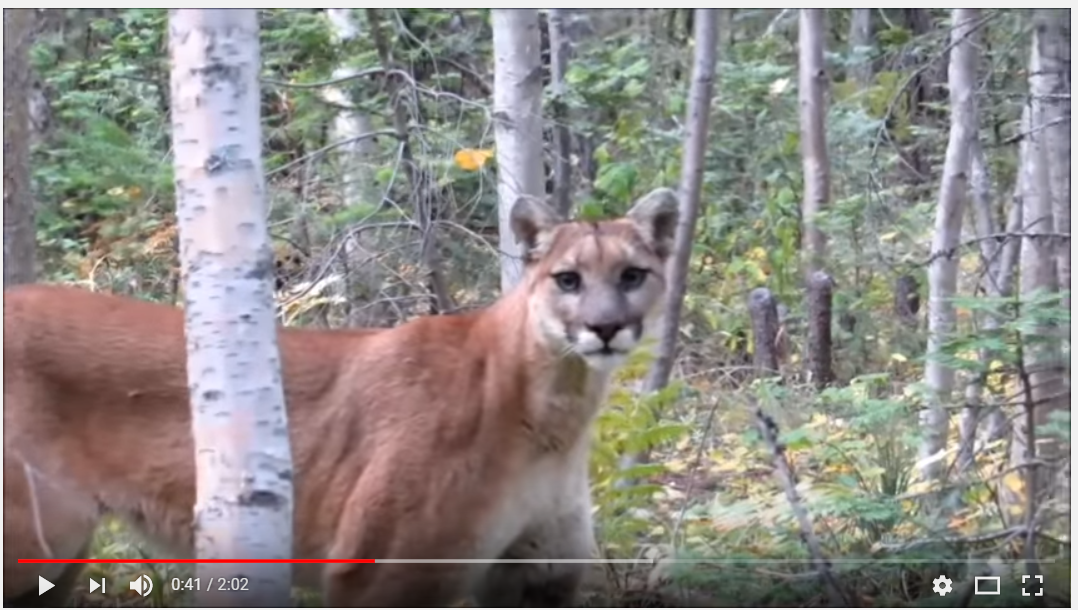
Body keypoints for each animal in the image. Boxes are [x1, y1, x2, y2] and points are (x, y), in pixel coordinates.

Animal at [3, 188, 679, 607]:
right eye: (568, 279)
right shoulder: (383, 574)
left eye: (632, 275)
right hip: (36, 540)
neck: (555, 414)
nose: (606, 327)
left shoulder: (538, 574)